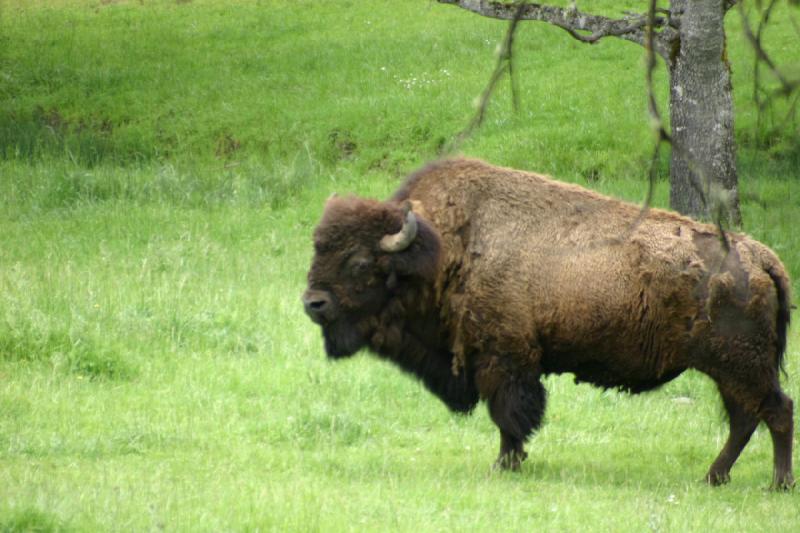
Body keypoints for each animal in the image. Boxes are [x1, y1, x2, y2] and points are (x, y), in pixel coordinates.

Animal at [302, 157, 792, 486]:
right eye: (317, 249)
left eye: (360, 261)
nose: (313, 303)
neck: (442, 249)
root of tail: (762, 258)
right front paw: (509, 463)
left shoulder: (504, 360)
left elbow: (508, 416)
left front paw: (504, 465)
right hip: (729, 370)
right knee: (745, 420)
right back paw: (714, 477)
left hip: (739, 366)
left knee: (776, 411)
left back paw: (777, 484)